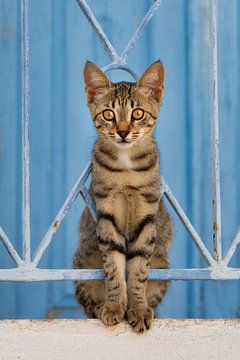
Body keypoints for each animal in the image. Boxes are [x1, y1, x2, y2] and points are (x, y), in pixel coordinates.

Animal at [73, 60, 172, 334]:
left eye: (137, 113)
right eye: (109, 114)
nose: (123, 132)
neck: (126, 168)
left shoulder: (146, 218)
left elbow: (138, 272)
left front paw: (137, 309)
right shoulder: (107, 217)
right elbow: (114, 270)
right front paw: (115, 306)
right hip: (82, 264)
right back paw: (99, 307)